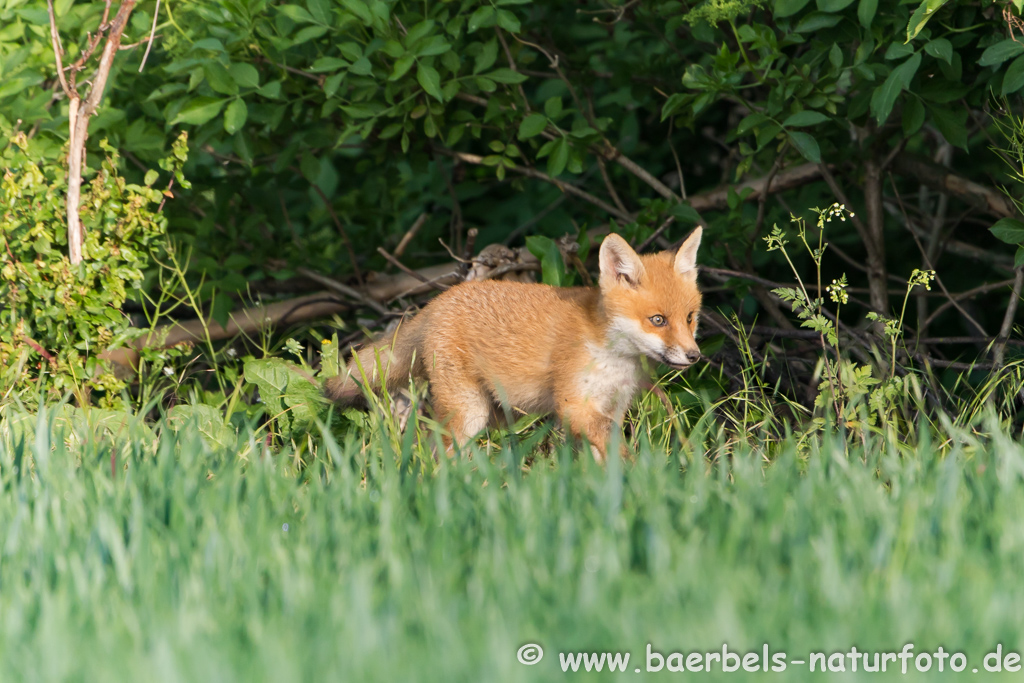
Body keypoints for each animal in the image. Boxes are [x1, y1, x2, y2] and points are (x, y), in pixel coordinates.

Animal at [323, 227, 700, 462]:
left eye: (690, 318)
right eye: (658, 320)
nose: (695, 356)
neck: (611, 353)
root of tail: (438, 300)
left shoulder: (613, 406)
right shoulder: (573, 404)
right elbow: (613, 443)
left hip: (493, 414)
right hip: (469, 412)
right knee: (437, 452)